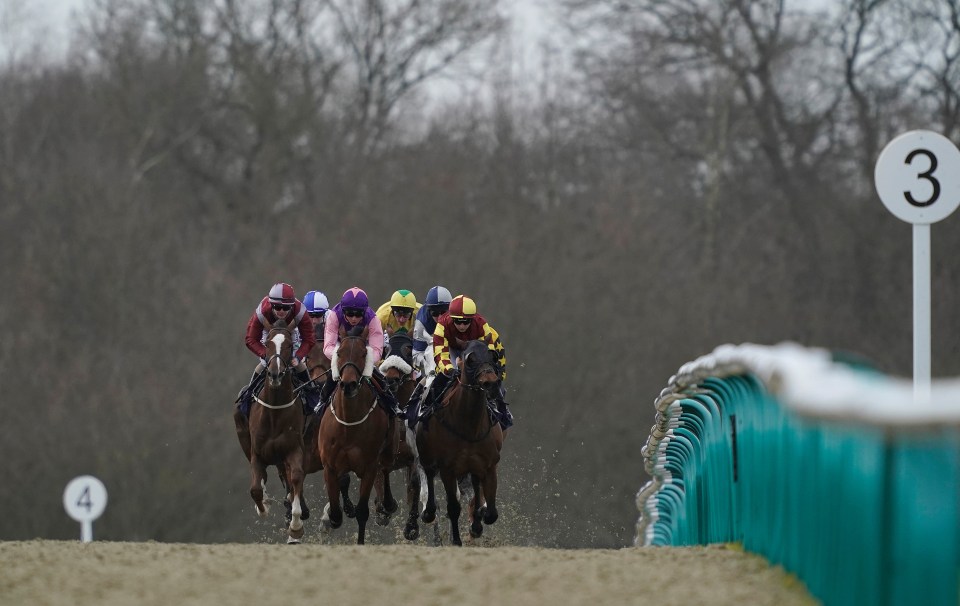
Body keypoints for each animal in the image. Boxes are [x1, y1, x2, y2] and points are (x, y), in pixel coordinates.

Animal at [246, 328, 306, 548]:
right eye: (267, 344)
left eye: (289, 345)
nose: (275, 374)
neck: (275, 412)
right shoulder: (257, 453)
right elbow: (255, 489)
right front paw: (263, 506)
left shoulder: (294, 450)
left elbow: (296, 479)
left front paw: (296, 528)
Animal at [316, 328, 390, 548]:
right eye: (339, 353)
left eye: (364, 354)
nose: (348, 384)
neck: (349, 423)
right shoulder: (329, 466)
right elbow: (335, 514)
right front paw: (333, 516)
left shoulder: (370, 467)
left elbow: (362, 512)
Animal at [412, 342, 502, 548]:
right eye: (470, 359)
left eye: (493, 356)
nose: (490, 383)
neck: (469, 426)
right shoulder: (448, 469)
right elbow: (453, 506)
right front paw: (455, 540)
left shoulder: (488, 466)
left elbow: (491, 513)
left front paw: (478, 520)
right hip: (427, 458)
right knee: (429, 478)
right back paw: (429, 513)